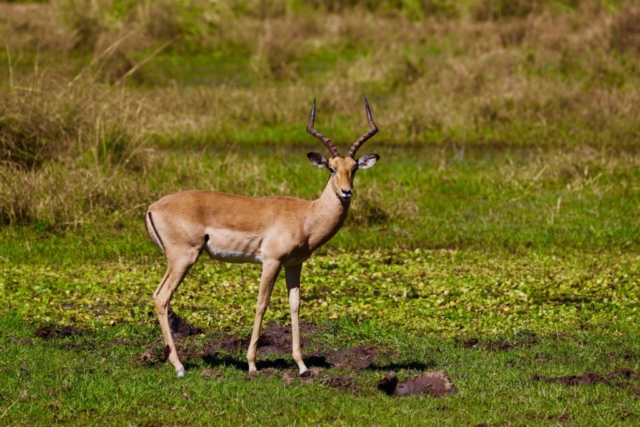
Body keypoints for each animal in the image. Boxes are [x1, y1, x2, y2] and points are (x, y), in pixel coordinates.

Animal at [145, 98, 380, 378]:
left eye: (354, 168)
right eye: (331, 169)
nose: (346, 192)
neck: (306, 216)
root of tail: (153, 207)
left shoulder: (294, 264)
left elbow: (295, 305)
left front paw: (302, 366)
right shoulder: (271, 261)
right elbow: (261, 304)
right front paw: (252, 364)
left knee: (159, 296)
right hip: (183, 258)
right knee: (162, 297)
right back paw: (179, 366)